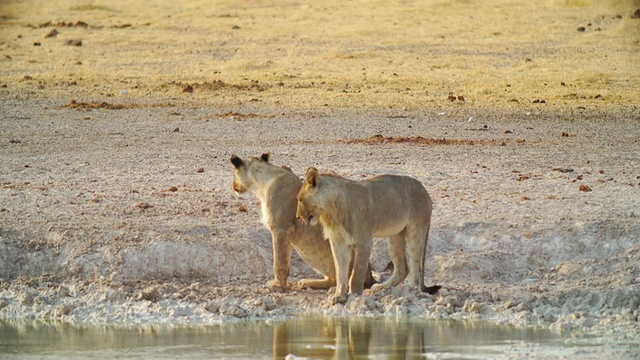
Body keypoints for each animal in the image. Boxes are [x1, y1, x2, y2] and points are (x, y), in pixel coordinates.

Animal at [232, 153, 378, 292]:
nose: (234, 186)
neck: (261, 184)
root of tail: (371, 278)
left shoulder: (282, 228)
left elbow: (279, 262)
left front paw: (277, 286)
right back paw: (307, 282)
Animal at [298, 167, 440, 302]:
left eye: (300, 199)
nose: (298, 217)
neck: (331, 211)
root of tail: (425, 191)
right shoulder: (338, 243)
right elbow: (340, 272)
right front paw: (340, 296)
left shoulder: (363, 242)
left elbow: (356, 274)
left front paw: (354, 295)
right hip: (395, 236)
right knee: (402, 269)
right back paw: (382, 287)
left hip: (415, 232)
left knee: (416, 268)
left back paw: (409, 291)